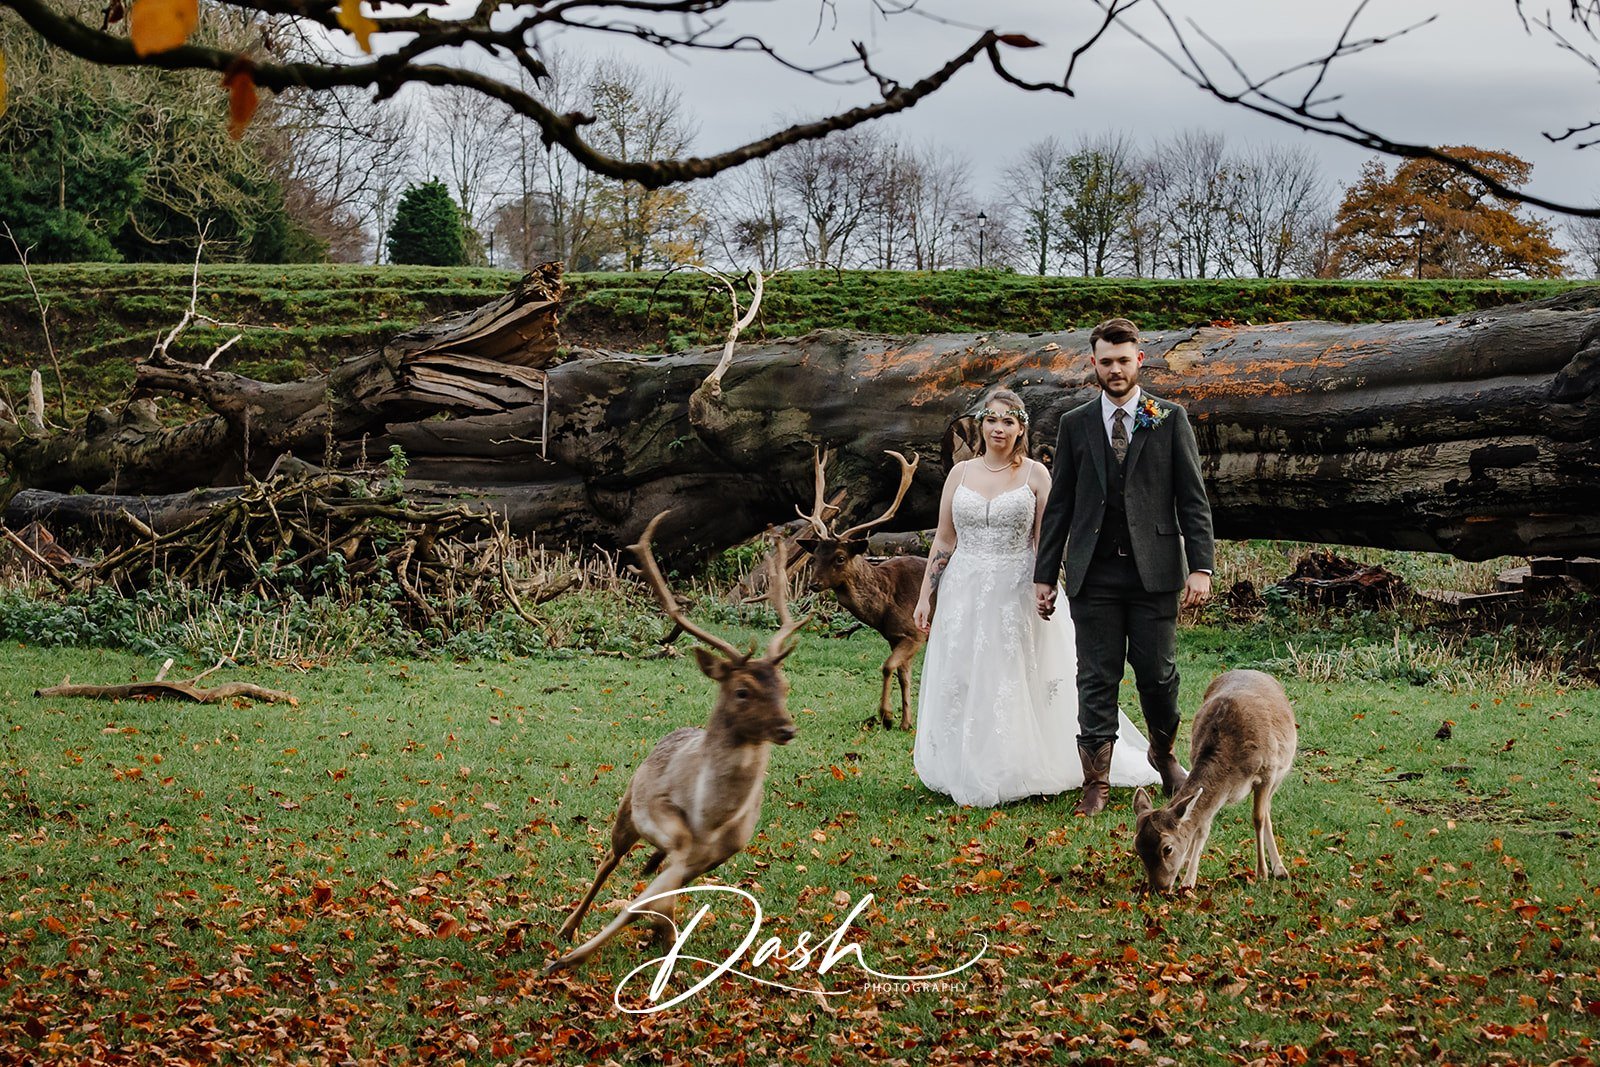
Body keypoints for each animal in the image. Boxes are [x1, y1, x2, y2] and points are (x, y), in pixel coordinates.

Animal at [543, 510, 808, 976]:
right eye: (742, 691)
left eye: (784, 685)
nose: (786, 729)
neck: (710, 817)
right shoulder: (657, 813)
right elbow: (645, 894)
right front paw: (566, 960)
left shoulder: (725, 849)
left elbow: (661, 892)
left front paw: (661, 934)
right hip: (626, 807)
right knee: (609, 861)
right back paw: (569, 928)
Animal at [794, 447, 926, 730]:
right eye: (814, 556)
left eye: (840, 557)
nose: (813, 584)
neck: (886, 605)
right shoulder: (894, 637)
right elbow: (904, 675)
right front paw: (905, 723)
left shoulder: (916, 632)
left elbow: (887, 667)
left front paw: (886, 715)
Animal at [1132, 669, 1298, 893]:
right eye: (1137, 848)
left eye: (1167, 848)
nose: (1159, 888)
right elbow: (1202, 826)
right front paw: (1189, 878)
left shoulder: (1267, 773)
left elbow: (1258, 818)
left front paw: (1261, 872)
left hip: (1280, 772)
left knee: (1267, 811)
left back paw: (1279, 869)